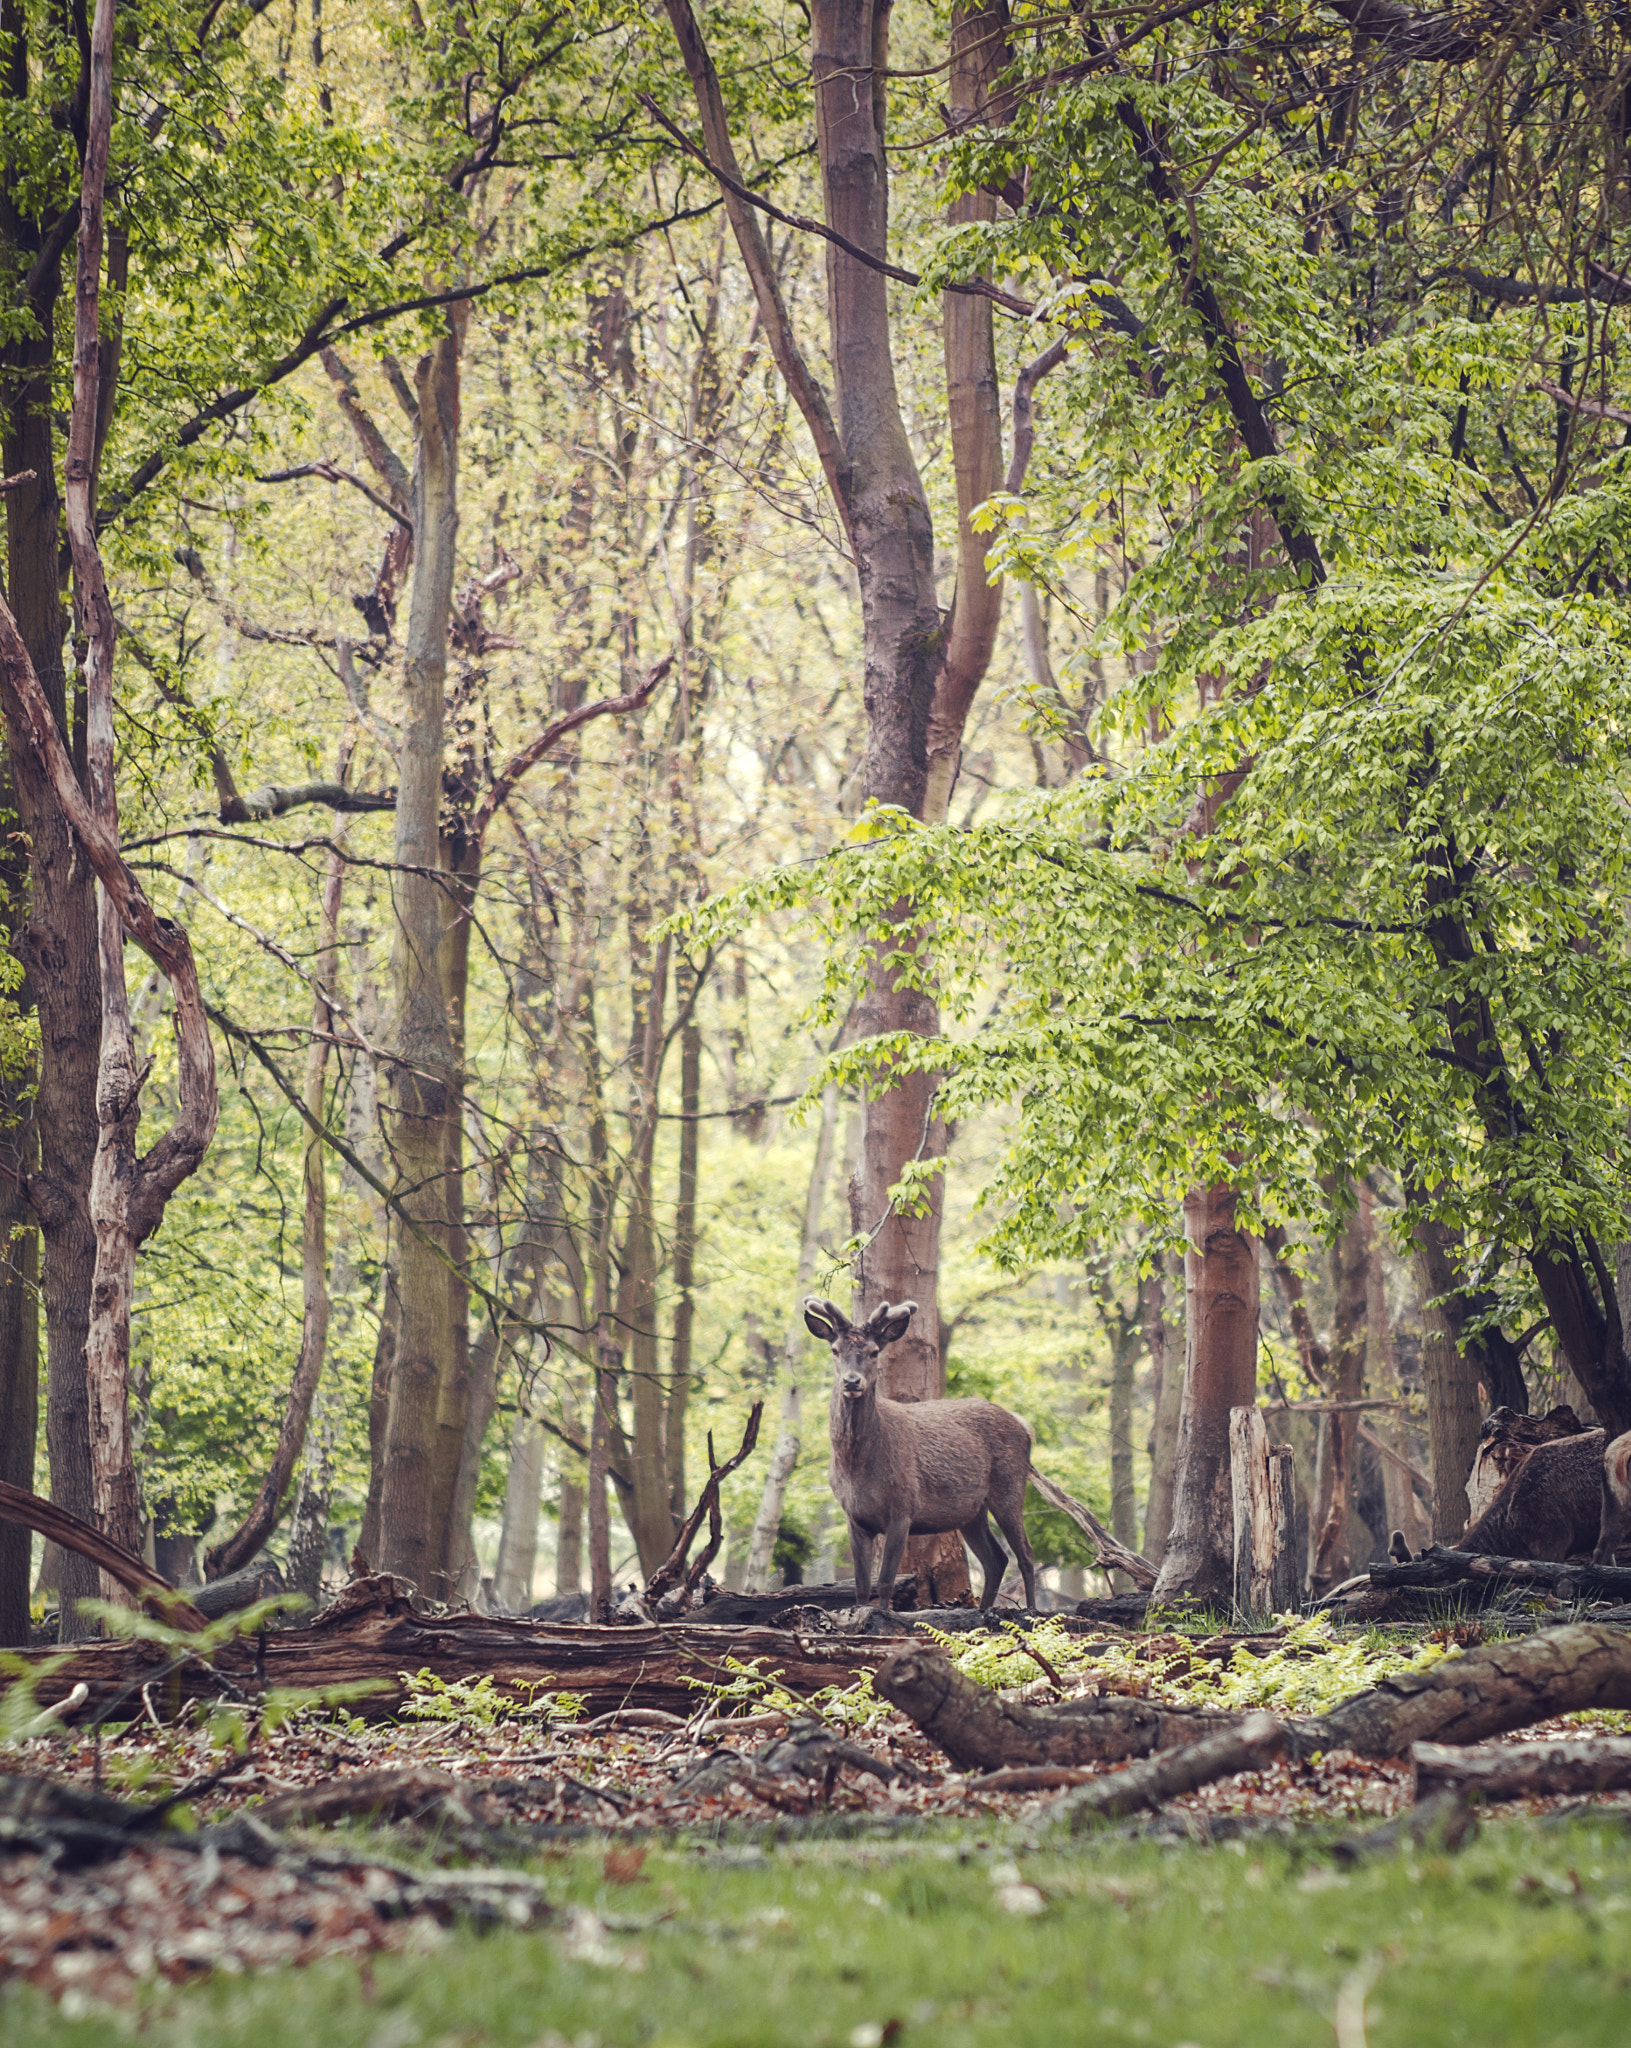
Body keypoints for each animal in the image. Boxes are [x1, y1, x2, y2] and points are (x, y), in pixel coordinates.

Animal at [803, 1295, 1038, 1612]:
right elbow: (861, 1584)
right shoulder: (854, 1517)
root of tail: (1024, 1426)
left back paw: (1034, 1610)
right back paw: (983, 1610)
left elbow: (885, 1580)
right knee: (997, 1558)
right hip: (970, 1512)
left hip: (1010, 1487)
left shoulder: (903, 1508)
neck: (857, 1469)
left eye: (874, 1351)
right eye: (835, 1350)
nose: (852, 1382)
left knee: (1025, 1554)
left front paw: (882, 1615)